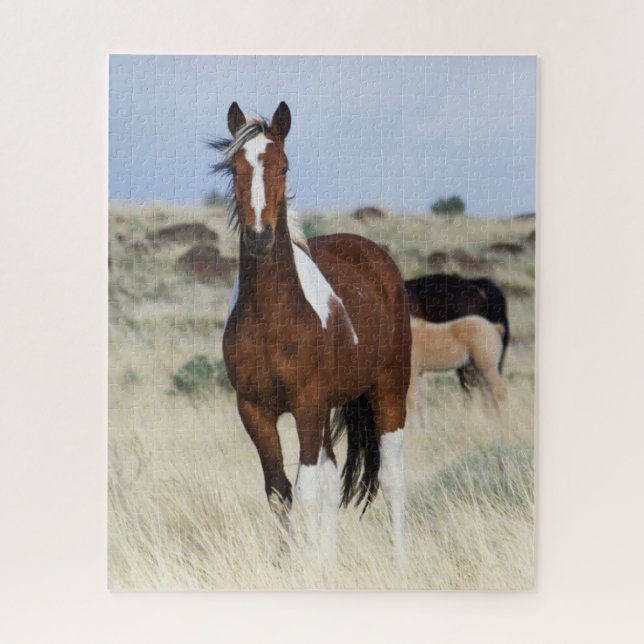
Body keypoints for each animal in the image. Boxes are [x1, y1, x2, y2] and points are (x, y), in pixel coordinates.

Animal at [213, 102, 411, 562]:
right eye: (234, 168)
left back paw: (400, 564)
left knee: (392, 480)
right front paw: (291, 565)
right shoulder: (255, 411)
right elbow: (279, 493)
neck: (274, 317)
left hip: (389, 390)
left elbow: (304, 495)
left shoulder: (306, 405)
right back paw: (329, 563)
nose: (260, 237)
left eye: (284, 167)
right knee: (332, 477)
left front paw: (303, 567)